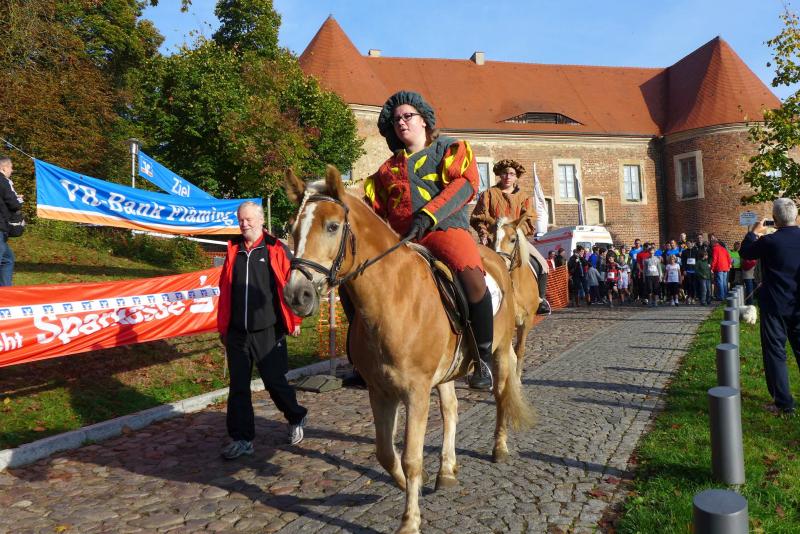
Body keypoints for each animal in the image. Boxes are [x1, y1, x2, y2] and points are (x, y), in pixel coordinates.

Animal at [282, 166, 535, 534]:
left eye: (331, 226)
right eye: (291, 229)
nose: (296, 295)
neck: (392, 296)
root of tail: (495, 259)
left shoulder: (415, 392)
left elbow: (411, 457)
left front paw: (409, 521)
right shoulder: (380, 391)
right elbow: (386, 454)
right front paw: (413, 481)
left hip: (501, 351)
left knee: (501, 395)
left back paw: (499, 446)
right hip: (446, 373)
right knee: (451, 410)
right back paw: (446, 470)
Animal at [493, 217, 541, 379]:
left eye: (513, 239)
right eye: (492, 238)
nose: (500, 262)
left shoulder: (527, 320)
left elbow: (519, 349)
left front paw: (518, 375)